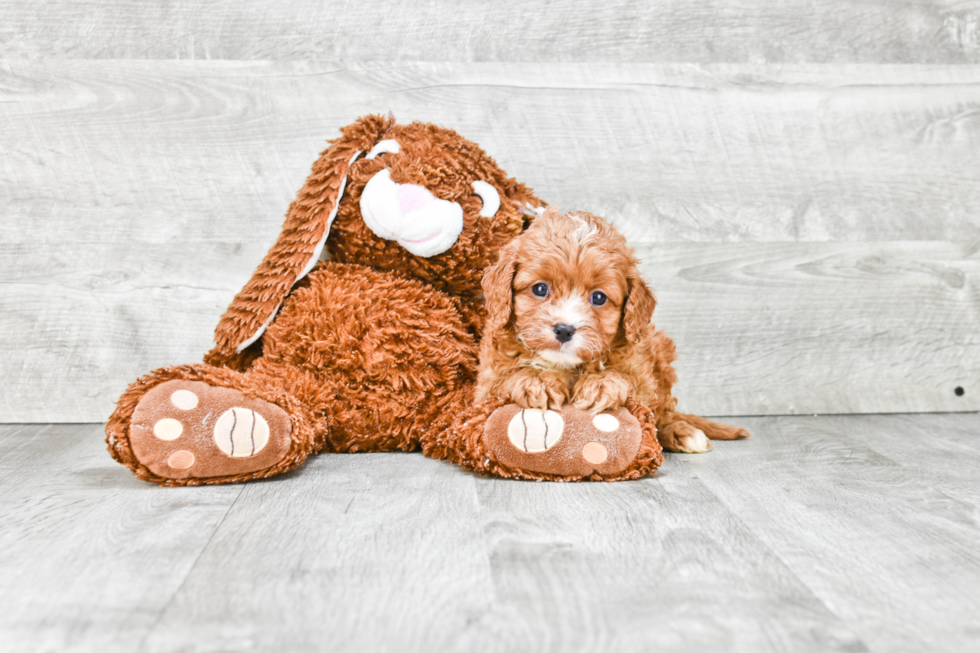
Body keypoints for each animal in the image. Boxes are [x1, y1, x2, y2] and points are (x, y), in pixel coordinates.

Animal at [476, 206, 752, 450]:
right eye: (540, 289)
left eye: (598, 297)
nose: (564, 329)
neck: (567, 366)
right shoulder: (484, 387)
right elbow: (506, 378)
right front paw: (537, 379)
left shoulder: (642, 375)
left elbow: (627, 381)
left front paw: (601, 384)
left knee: (663, 412)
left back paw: (681, 431)